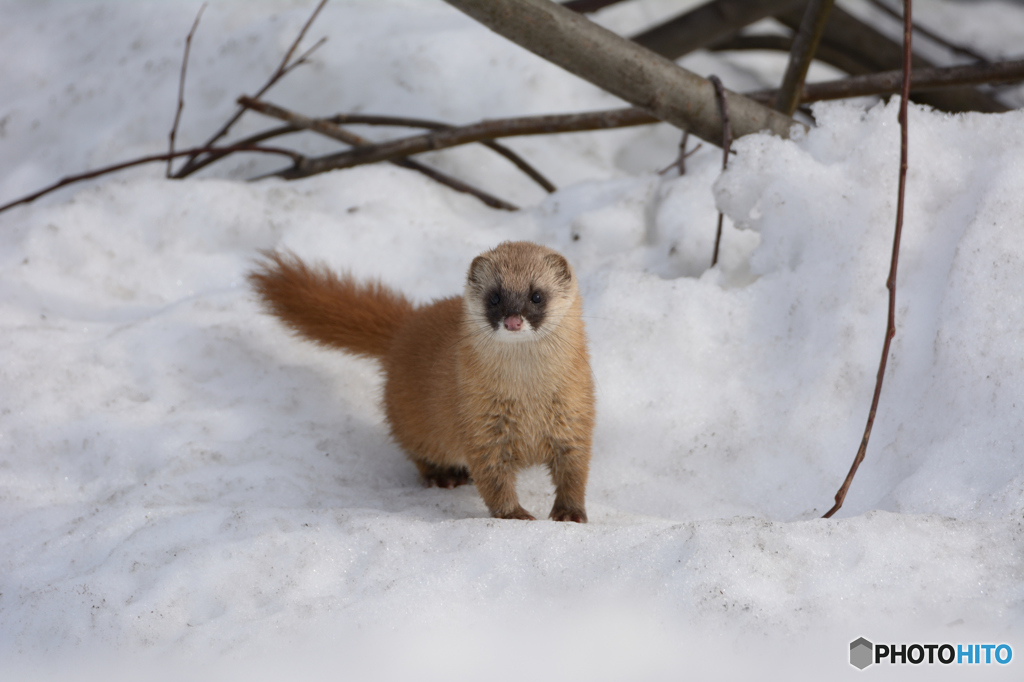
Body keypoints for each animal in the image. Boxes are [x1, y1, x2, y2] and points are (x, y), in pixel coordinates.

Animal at [248, 238, 598, 520]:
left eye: (537, 296)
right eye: (495, 297)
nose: (512, 321)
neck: (527, 395)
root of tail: (405, 328)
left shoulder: (575, 414)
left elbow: (574, 472)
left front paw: (570, 514)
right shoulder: (478, 422)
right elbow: (493, 479)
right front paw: (514, 515)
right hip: (414, 423)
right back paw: (444, 477)